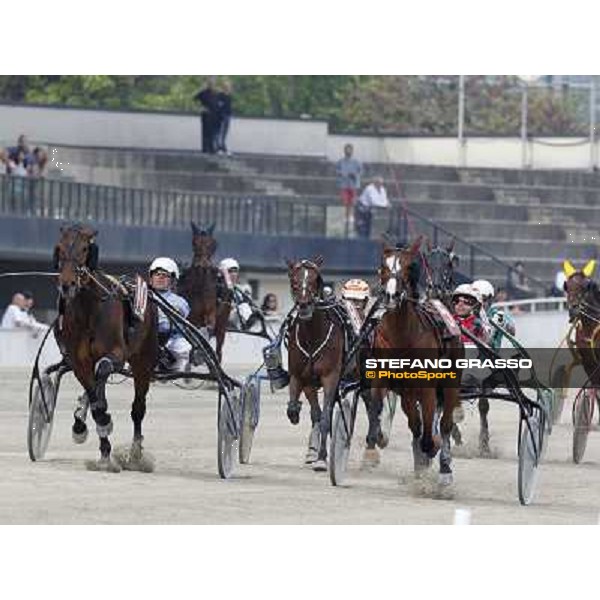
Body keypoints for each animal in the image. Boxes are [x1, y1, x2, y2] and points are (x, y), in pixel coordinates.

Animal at [53, 223, 158, 472]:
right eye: (60, 247)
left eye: (84, 248)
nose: (67, 284)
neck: (89, 309)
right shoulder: (79, 361)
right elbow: (95, 399)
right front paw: (98, 443)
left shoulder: (117, 354)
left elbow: (103, 371)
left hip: (143, 361)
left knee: (138, 408)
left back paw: (136, 455)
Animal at [178, 220, 230, 360]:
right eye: (194, 243)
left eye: (213, 244)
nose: (202, 266)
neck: (199, 286)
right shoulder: (190, 316)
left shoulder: (211, 311)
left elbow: (209, 326)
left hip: (223, 322)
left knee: (219, 346)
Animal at [288, 255, 344, 472]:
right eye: (294, 281)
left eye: (314, 280)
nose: (304, 305)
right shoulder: (302, 377)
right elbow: (313, 413)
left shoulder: (330, 377)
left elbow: (326, 416)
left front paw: (321, 458)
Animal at [370, 236, 464, 488]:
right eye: (382, 266)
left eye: (409, 267)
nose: (391, 296)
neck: (402, 336)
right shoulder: (388, 383)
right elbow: (382, 411)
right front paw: (378, 436)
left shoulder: (427, 388)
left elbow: (431, 432)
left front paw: (432, 451)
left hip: (450, 385)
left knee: (445, 424)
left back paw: (444, 468)